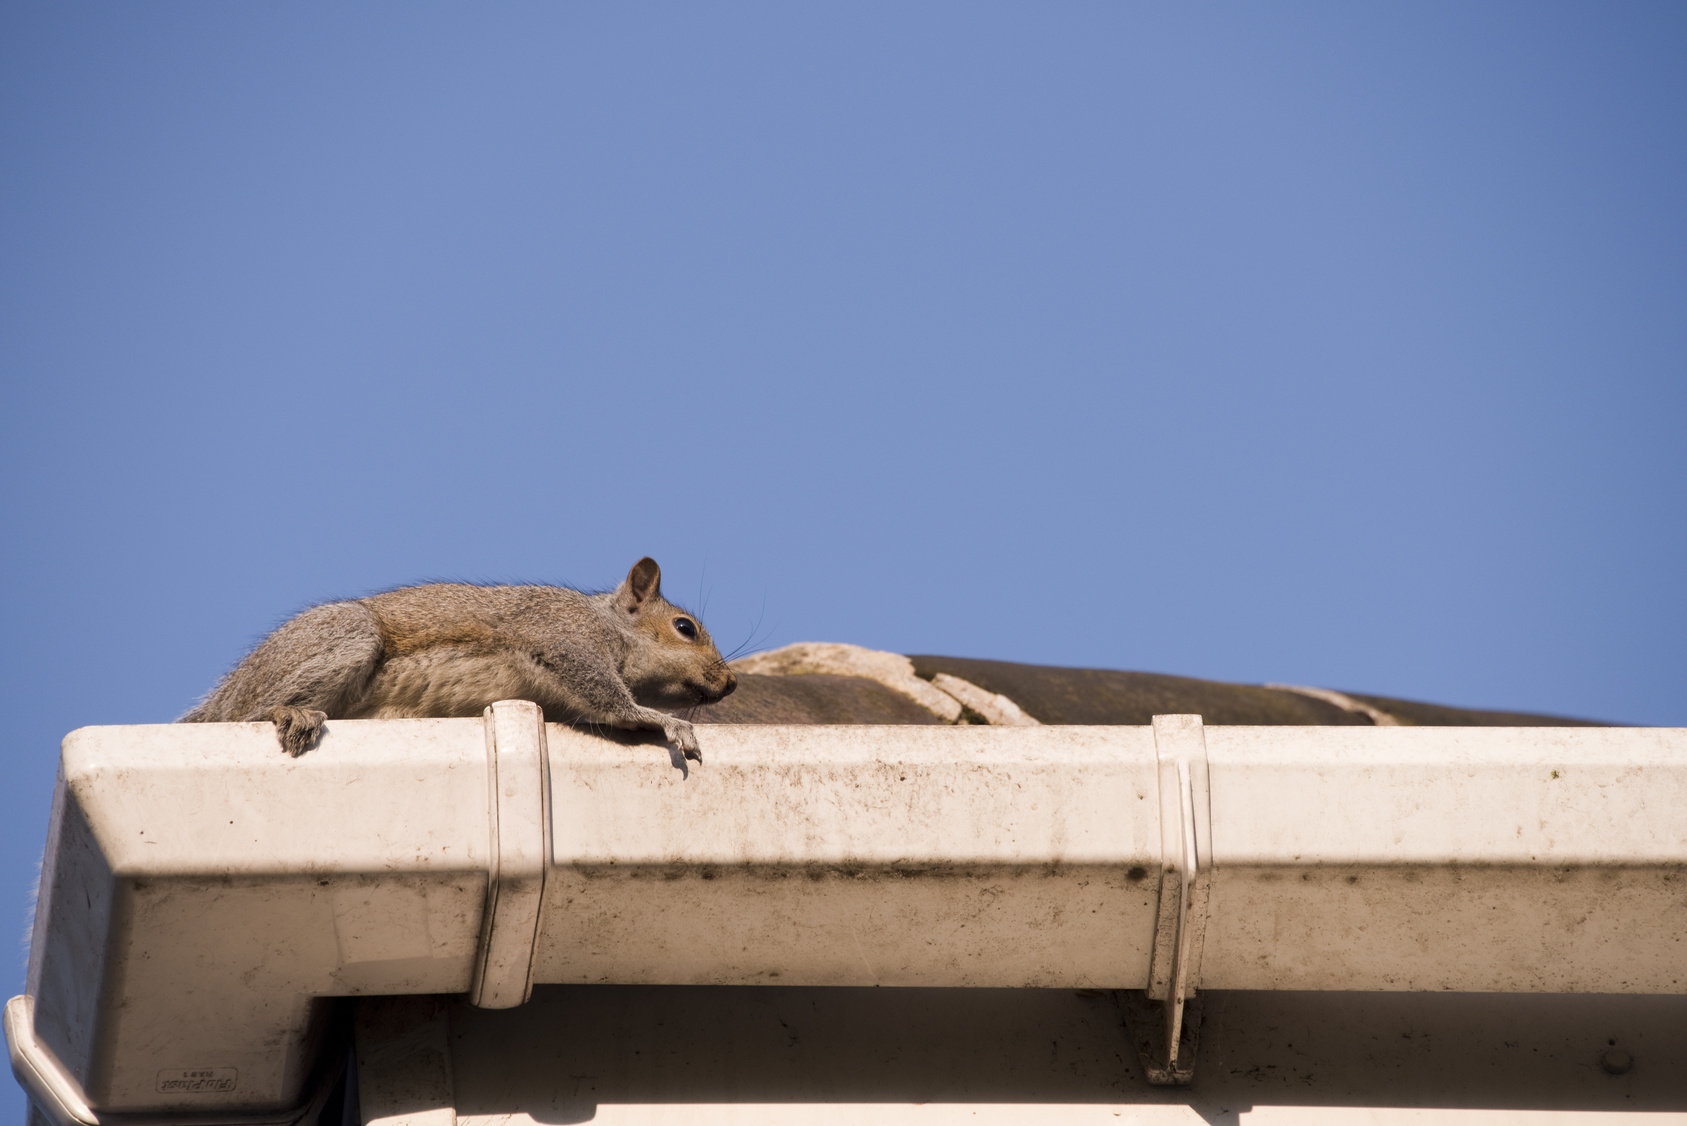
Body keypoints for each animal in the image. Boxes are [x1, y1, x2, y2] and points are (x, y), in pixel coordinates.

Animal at [179, 557, 736, 761]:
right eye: (684, 628)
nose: (730, 683)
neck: (611, 626)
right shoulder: (560, 636)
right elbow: (609, 698)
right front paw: (662, 720)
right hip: (346, 636)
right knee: (248, 714)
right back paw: (290, 712)